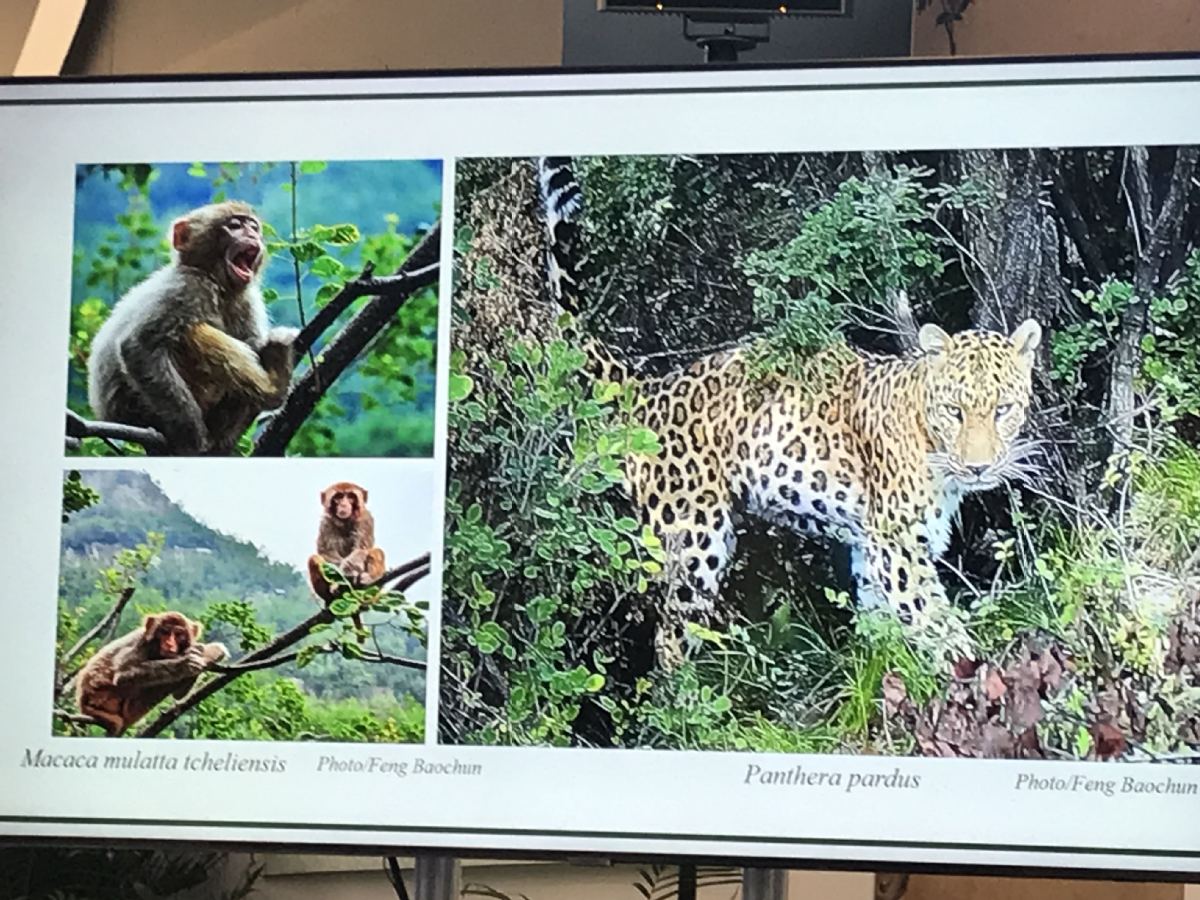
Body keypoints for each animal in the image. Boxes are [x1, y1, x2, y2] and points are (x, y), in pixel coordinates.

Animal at [535, 157, 1041, 662]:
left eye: (1003, 409)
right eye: (955, 411)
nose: (978, 468)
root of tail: (650, 388)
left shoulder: (871, 543)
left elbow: (881, 624)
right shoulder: (897, 544)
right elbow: (933, 619)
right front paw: (967, 662)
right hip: (695, 535)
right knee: (672, 632)